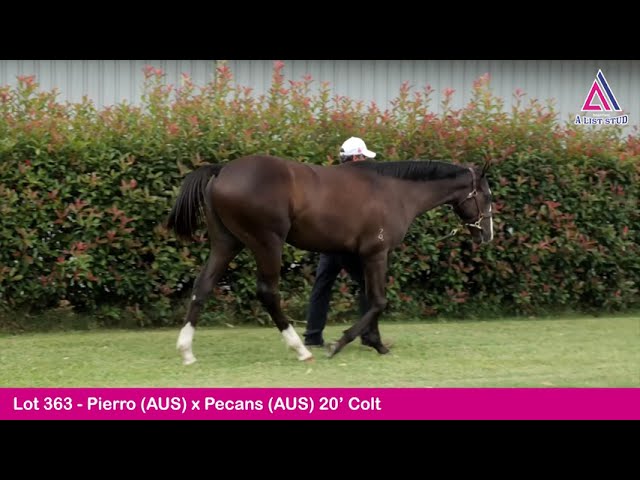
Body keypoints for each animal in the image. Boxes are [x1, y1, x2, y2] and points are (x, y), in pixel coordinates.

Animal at [166, 156, 496, 366]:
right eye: (488, 197)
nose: (488, 234)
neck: (394, 190)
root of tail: (222, 170)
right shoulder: (377, 253)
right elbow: (379, 300)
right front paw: (342, 343)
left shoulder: (355, 256)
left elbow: (369, 297)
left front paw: (376, 343)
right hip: (267, 242)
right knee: (268, 292)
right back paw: (300, 349)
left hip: (226, 243)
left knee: (202, 286)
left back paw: (186, 351)